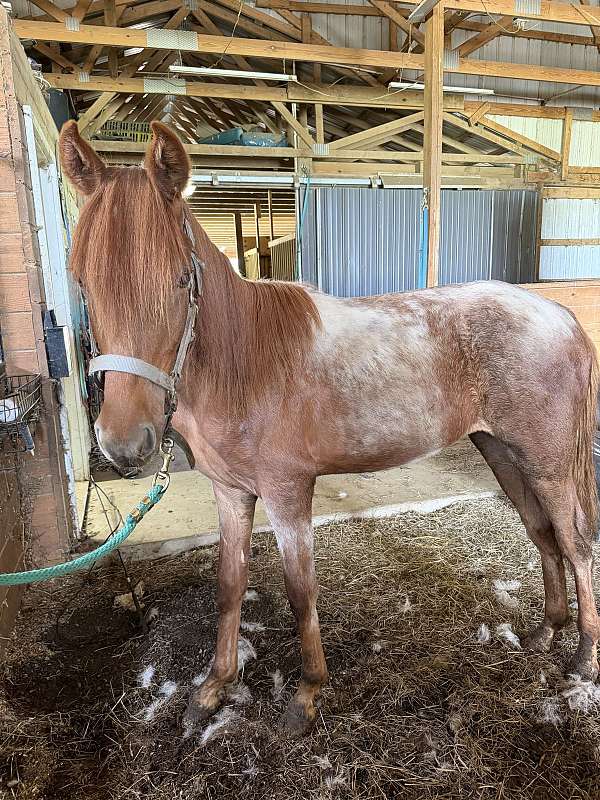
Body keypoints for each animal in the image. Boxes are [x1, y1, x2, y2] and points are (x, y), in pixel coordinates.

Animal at [59, 119, 599, 736]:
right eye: (83, 281)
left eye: (178, 280)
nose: (126, 443)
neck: (245, 364)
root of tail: (563, 318)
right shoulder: (230, 492)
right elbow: (229, 587)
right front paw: (214, 687)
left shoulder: (287, 492)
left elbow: (301, 592)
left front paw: (307, 693)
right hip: (502, 452)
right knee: (541, 531)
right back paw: (545, 631)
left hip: (548, 462)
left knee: (576, 540)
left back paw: (582, 657)